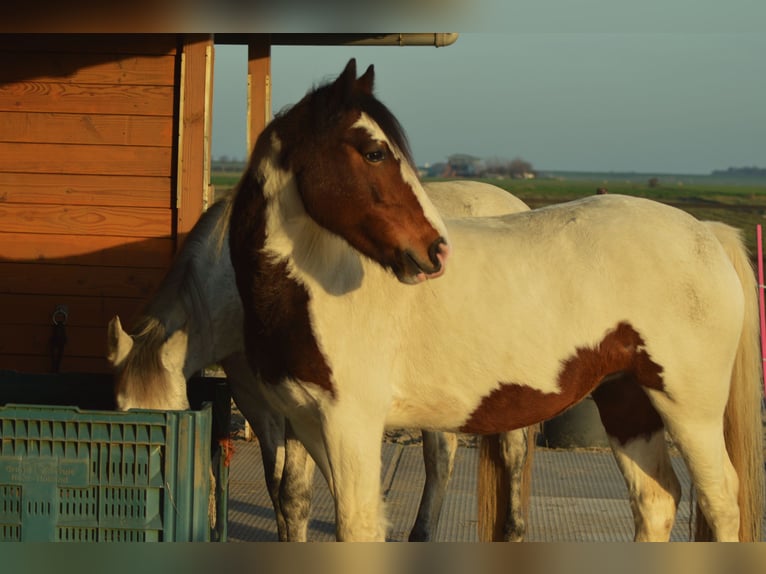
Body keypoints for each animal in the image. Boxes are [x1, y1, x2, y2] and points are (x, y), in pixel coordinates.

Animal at [108, 181, 536, 544]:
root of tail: (516, 203)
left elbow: (300, 491)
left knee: (509, 451)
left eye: (174, 415)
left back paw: (511, 531)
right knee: (441, 456)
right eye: (121, 410)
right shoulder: (257, 402)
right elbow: (277, 486)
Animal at [228, 59, 766, 544]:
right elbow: (293, 507)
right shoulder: (301, 422)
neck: (310, 287)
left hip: (689, 411)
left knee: (721, 501)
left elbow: (355, 525)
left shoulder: (351, 428)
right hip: (626, 399)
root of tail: (707, 233)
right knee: (657, 501)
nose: (435, 250)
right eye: (375, 152)